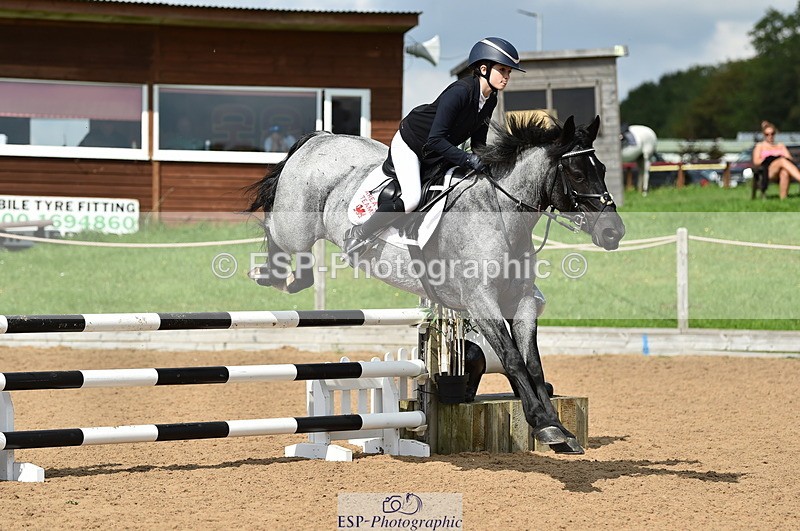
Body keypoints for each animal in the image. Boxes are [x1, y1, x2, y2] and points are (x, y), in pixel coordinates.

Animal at [246, 114, 625, 454]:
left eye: (603, 170)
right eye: (577, 173)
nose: (614, 233)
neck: (501, 214)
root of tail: (321, 138)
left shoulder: (522, 301)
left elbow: (532, 362)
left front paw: (556, 427)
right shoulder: (480, 302)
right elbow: (513, 359)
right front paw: (543, 425)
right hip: (294, 227)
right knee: (274, 231)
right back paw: (268, 274)